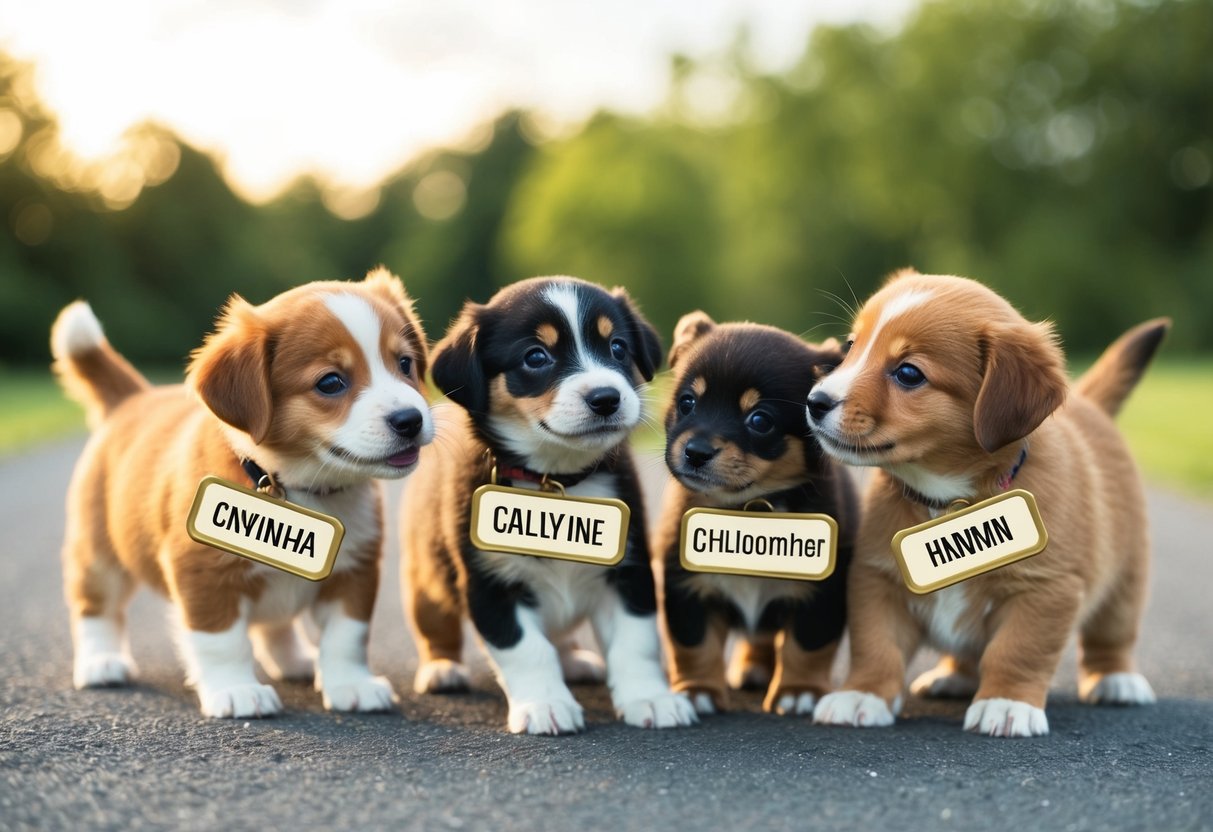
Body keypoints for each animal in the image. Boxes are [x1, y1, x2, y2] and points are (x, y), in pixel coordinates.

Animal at [52, 270, 434, 717]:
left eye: (404, 363)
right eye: (330, 382)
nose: (410, 419)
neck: (294, 485)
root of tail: (131, 398)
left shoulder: (356, 570)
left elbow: (348, 636)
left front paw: (350, 684)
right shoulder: (203, 571)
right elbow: (221, 642)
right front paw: (236, 689)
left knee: (277, 625)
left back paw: (297, 660)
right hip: (99, 554)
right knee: (96, 608)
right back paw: (101, 661)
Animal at [805, 270, 1164, 742]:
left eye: (908, 373)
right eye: (850, 347)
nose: (814, 402)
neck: (948, 501)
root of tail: (1091, 407)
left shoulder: (1045, 589)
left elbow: (1017, 651)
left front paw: (1006, 702)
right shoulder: (876, 580)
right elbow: (876, 646)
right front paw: (861, 694)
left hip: (1126, 581)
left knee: (1112, 636)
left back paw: (1116, 679)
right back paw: (952, 676)